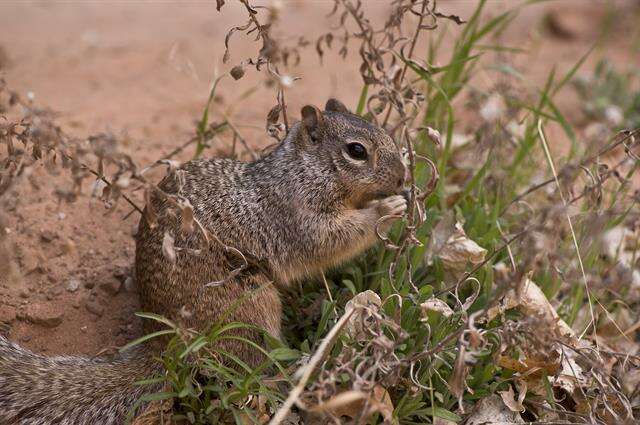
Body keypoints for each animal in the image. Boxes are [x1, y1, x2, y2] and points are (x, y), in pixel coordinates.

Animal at [0, 98, 408, 420]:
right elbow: (331, 240)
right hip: (249, 305)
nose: (404, 178)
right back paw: (295, 370)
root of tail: (166, 348)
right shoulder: (296, 217)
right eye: (356, 151)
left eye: (387, 134)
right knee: (248, 365)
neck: (301, 172)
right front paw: (386, 210)